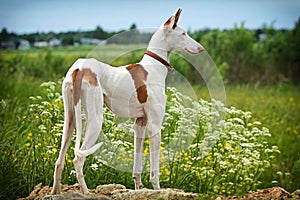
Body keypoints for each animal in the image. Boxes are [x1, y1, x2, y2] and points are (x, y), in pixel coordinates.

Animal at [51, 8, 205, 195]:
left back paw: (55, 192)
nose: (202, 48)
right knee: (78, 158)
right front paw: (157, 190)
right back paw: (86, 192)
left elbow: (137, 165)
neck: (153, 66)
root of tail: (80, 68)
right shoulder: (154, 126)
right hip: (95, 120)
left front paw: (139, 187)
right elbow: (155, 169)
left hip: (70, 119)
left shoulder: (140, 123)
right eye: (183, 33)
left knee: (59, 161)